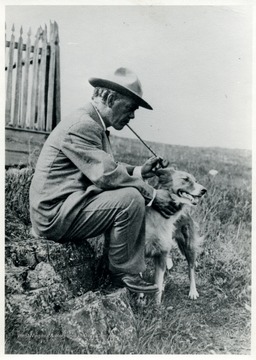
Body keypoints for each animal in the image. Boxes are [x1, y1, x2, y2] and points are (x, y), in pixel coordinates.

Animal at [145, 168, 207, 304]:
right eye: (186, 179)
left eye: (195, 181)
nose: (204, 190)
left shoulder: (162, 252)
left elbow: (158, 283)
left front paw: (156, 306)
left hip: (188, 246)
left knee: (191, 269)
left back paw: (193, 291)